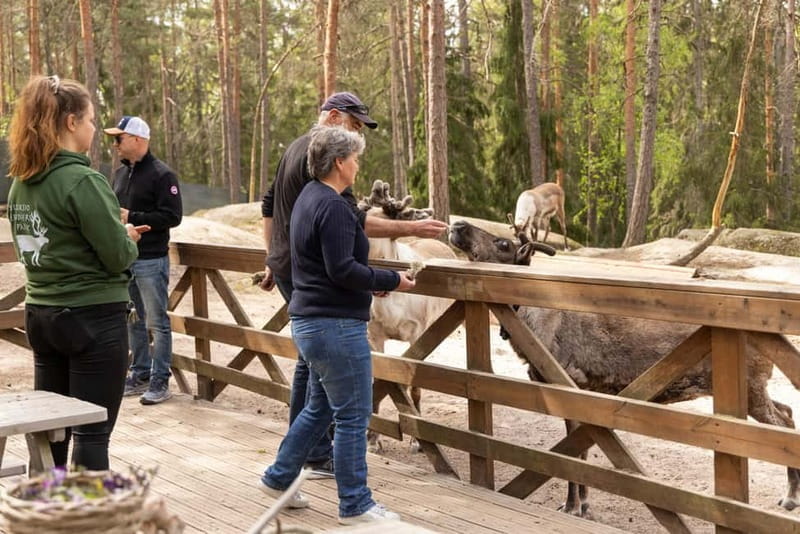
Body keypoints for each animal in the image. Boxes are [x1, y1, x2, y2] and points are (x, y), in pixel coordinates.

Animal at [359, 180, 456, 453]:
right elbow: (378, 380)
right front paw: (373, 439)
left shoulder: (417, 334)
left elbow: (415, 387)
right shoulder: (374, 335)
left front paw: (417, 441)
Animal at [448, 219, 800, 518]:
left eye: (503, 243)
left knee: (782, 425)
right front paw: (579, 504)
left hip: (749, 386)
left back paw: (790, 496)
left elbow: (573, 455)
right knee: (786, 411)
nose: (458, 225)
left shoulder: (574, 386)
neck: (532, 324)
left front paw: (576, 507)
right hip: (755, 386)